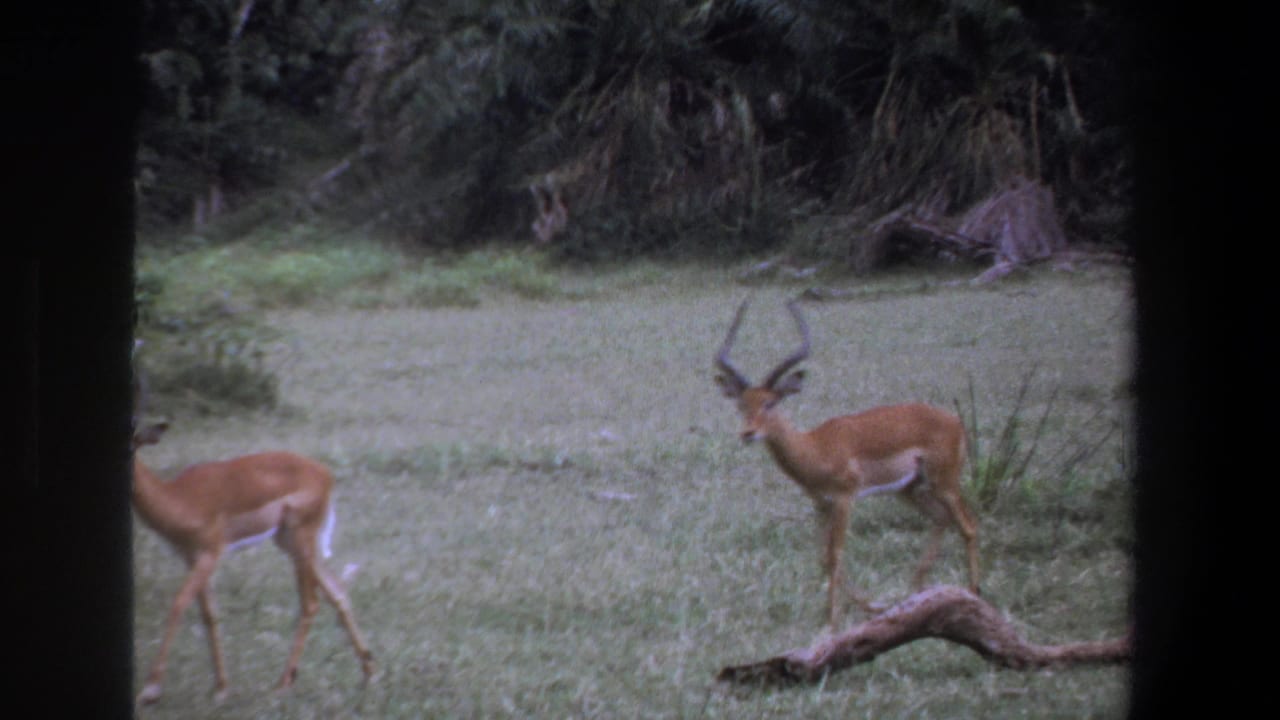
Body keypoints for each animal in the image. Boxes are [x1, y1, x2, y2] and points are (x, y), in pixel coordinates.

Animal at [130, 421, 375, 705]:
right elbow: (209, 614)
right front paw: (221, 688)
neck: (179, 498)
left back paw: (282, 684)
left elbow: (179, 605)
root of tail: (325, 474)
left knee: (311, 603)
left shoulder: (209, 554)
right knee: (337, 591)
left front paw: (150, 690)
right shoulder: (190, 558)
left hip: (300, 540)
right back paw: (368, 674)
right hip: (291, 542)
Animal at [714, 299, 980, 627]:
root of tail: (955, 420)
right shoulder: (821, 504)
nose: (748, 433)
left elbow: (835, 554)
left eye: (770, 402)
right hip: (908, 489)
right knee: (942, 518)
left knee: (968, 526)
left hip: (945, 482)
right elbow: (824, 558)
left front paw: (832, 619)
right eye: (741, 405)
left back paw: (973, 593)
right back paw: (917, 592)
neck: (815, 447)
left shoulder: (845, 499)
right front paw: (870, 606)